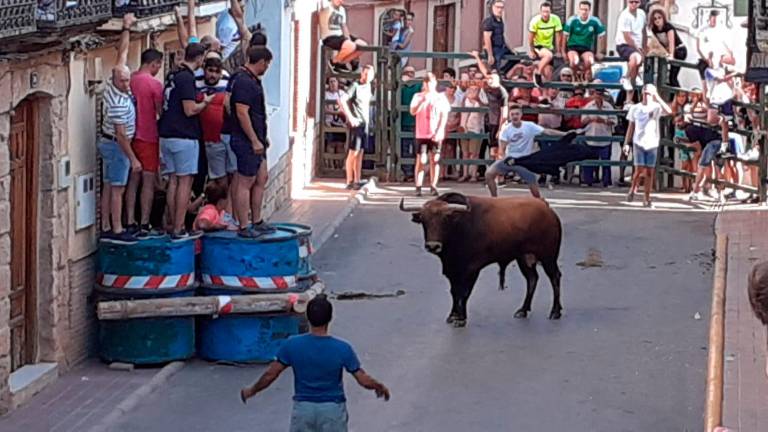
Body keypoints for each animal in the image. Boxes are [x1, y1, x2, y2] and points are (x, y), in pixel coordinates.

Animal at [402, 192, 564, 328]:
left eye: (445, 218)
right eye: (424, 220)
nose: (433, 246)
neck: (459, 226)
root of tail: (546, 208)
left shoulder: (471, 269)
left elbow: (464, 293)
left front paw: (461, 318)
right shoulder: (452, 270)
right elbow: (454, 292)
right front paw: (453, 315)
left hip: (549, 256)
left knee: (555, 277)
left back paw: (555, 311)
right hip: (523, 258)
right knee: (532, 279)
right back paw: (523, 310)